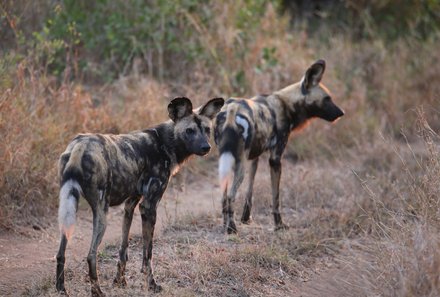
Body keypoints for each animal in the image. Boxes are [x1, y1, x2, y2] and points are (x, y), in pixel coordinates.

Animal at [55, 96, 223, 294]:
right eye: (189, 131)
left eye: (207, 129)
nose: (206, 147)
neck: (166, 143)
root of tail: (79, 146)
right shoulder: (148, 206)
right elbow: (148, 254)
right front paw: (151, 284)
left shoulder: (131, 204)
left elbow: (123, 249)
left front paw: (120, 281)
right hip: (102, 213)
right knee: (90, 255)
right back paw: (97, 291)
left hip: (69, 207)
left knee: (60, 253)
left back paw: (61, 288)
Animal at [215, 59, 346, 232]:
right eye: (327, 99)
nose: (342, 113)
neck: (287, 104)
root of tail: (232, 109)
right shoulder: (275, 159)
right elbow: (276, 197)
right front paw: (279, 224)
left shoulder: (254, 158)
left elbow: (250, 191)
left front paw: (246, 218)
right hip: (239, 166)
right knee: (230, 196)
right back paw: (231, 228)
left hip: (230, 161)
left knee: (224, 194)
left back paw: (226, 225)